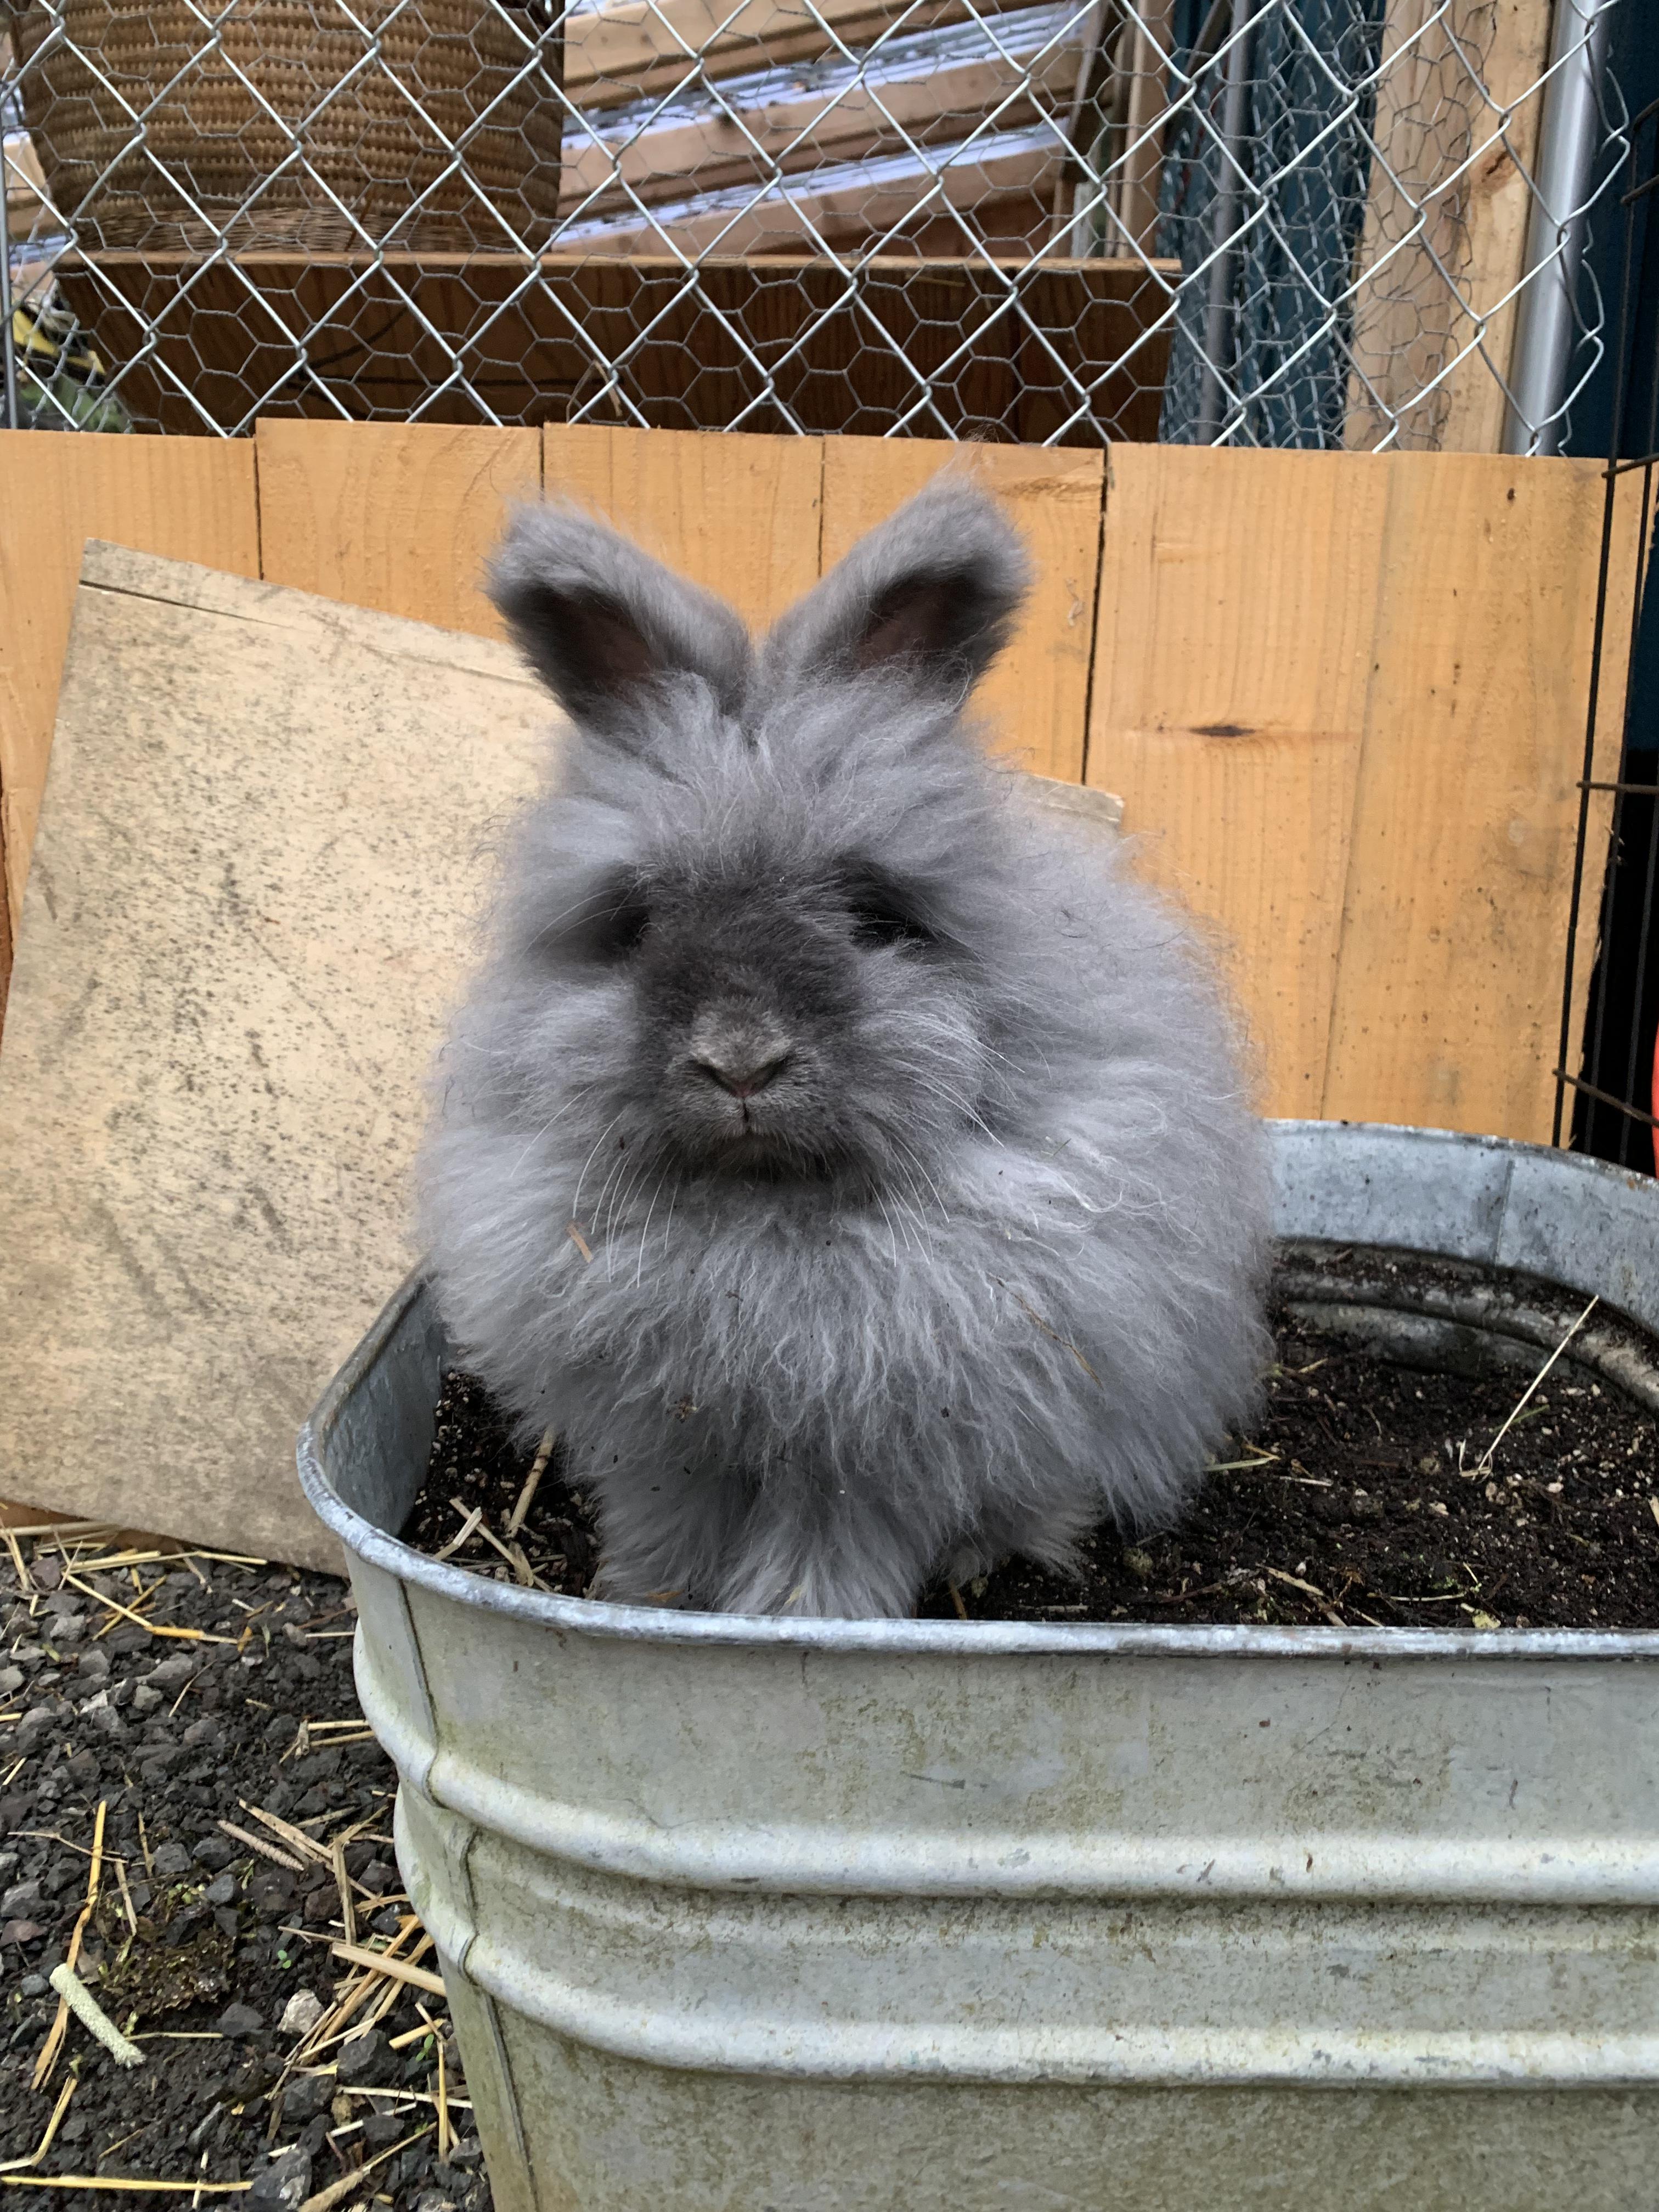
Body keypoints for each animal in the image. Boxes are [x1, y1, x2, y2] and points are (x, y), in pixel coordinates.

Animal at [417, 474, 1272, 1619]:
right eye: (632, 925)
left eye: (873, 916)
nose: (739, 1062)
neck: (761, 1212)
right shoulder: (669, 1440)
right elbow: (672, 1519)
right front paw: (649, 1597)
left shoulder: (866, 1447)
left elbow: (833, 1539)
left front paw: (795, 1615)